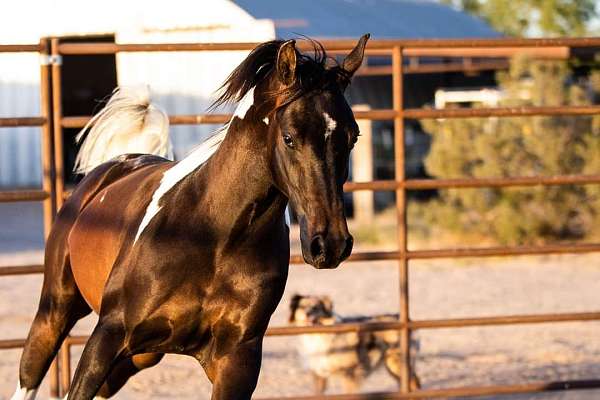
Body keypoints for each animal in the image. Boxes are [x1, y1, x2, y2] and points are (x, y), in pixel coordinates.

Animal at [14, 35, 368, 400]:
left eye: (353, 136)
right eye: (289, 137)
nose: (329, 244)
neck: (213, 237)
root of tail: (114, 166)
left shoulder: (237, 361)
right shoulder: (107, 336)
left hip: (141, 357)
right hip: (55, 311)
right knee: (30, 372)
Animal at [288, 294, 420, 394]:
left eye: (316, 307)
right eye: (302, 307)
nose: (307, 314)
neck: (317, 335)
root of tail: (403, 318)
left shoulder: (350, 374)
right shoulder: (318, 375)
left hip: (398, 364)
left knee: (414, 383)